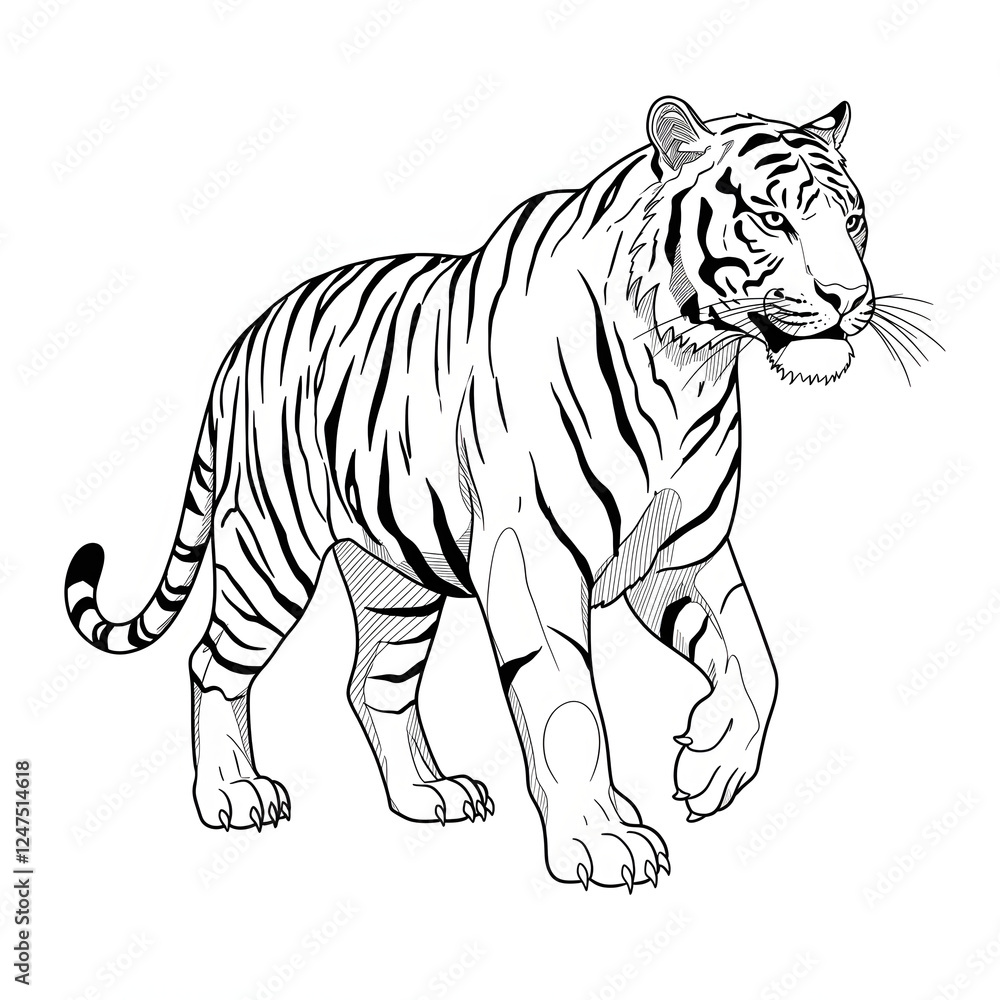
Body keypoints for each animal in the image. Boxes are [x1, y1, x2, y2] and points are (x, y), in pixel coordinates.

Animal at [65, 95, 891, 890]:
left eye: (853, 220)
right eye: (774, 220)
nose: (850, 297)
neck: (691, 367)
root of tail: (243, 341)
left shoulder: (680, 555)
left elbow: (755, 660)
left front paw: (707, 758)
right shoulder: (534, 560)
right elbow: (566, 705)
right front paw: (600, 841)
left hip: (396, 581)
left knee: (372, 684)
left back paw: (427, 793)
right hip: (269, 553)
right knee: (212, 662)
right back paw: (232, 794)